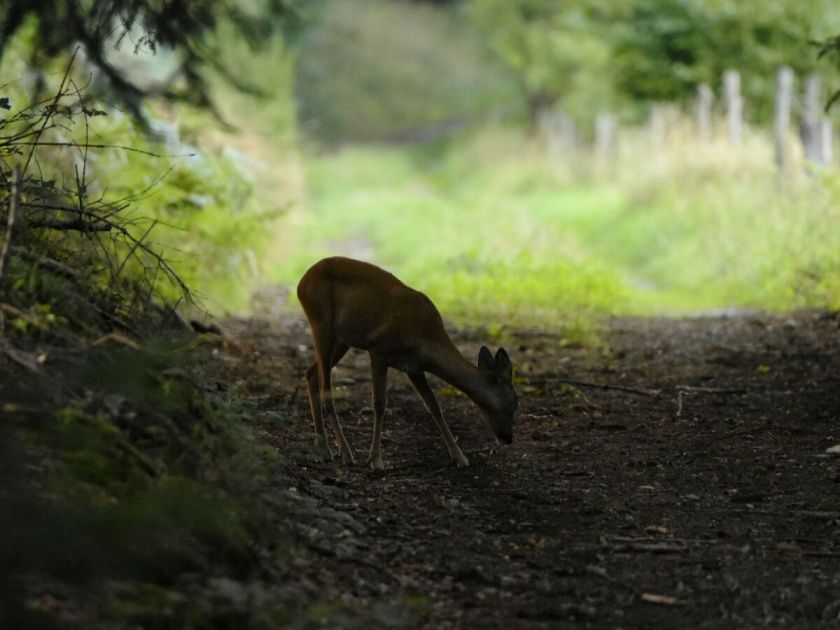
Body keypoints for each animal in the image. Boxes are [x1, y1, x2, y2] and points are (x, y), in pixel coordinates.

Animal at [296, 256, 520, 470]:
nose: (508, 438)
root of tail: (301, 283)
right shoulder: (378, 350)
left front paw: (459, 457)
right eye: (513, 403)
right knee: (326, 389)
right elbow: (379, 403)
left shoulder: (414, 367)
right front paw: (375, 460)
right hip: (322, 324)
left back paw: (323, 449)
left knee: (311, 373)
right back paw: (345, 454)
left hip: (343, 340)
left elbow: (433, 405)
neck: (424, 335)